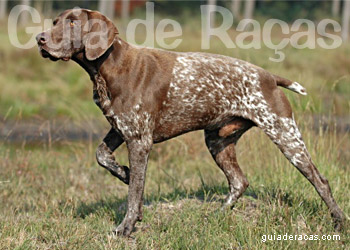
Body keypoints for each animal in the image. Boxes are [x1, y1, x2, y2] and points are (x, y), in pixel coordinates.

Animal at [36, 8, 344, 236]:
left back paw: (339, 221)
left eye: (73, 22)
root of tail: (269, 76)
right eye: (55, 22)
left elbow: (134, 194)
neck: (108, 66)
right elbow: (102, 156)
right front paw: (123, 172)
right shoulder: (120, 128)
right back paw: (218, 215)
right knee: (239, 182)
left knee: (321, 181)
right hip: (218, 141)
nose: (40, 38)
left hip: (285, 135)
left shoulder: (139, 140)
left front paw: (126, 226)